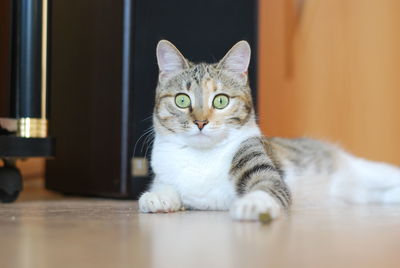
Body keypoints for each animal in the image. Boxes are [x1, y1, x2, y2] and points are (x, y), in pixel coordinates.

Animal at [138, 39, 400, 220]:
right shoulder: (165, 172)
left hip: (366, 169)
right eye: (182, 100)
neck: (201, 158)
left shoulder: (259, 162)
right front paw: (158, 197)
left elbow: (267, 185)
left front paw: (252, 204)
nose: (200, 122)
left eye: (220, 100)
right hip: (357, 192)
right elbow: (166, 186)